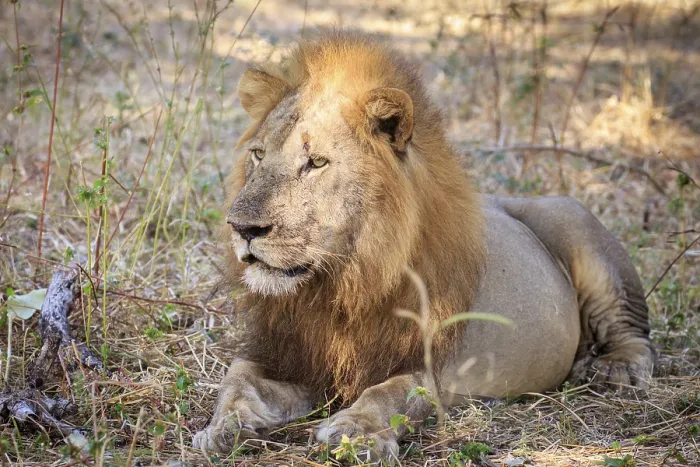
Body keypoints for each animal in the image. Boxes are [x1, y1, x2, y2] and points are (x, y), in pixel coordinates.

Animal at [192, 31, 655, 462]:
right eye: (257, 155)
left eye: (316, 162)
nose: (241, 227)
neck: (340, 282)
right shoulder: (287, 352)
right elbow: (236, 377)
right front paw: (223, 428)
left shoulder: (436, 367)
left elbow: (392, 393)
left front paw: (355, 433)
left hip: (576, 221)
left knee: (634, 330)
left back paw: (615, 369)